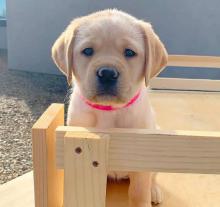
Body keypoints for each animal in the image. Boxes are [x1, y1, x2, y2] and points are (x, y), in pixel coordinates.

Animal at [52, 8, 168, 207]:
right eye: (87, 51)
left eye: (129, 52)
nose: (107, 73)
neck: (109, 110)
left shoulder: (142, 155)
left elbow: (139, 191)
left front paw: (143, 197)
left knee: (152, 177)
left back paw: (154, 191)